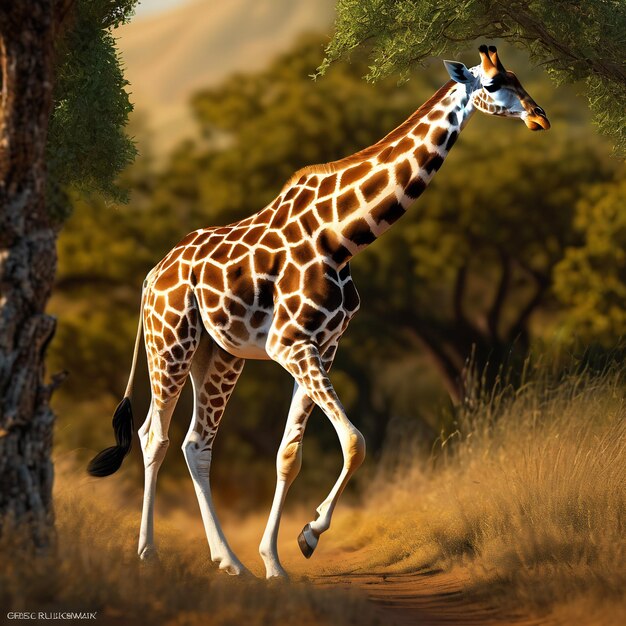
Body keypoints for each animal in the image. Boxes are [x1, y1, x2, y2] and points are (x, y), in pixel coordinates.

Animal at [86, 46, 544, 576]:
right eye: (491, 84)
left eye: (516, 75)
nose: (539, 116)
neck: (341, 238)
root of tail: (151, 276)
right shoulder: (290, 343)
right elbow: (355, 440)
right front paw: (307, 536)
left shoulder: (324, 345)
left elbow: (291, 454)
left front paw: (277, 558)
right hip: (170, 341)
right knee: (153, 436)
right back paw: (149, 555)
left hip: (219, 354)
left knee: (196, 444)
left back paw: (231, 562)